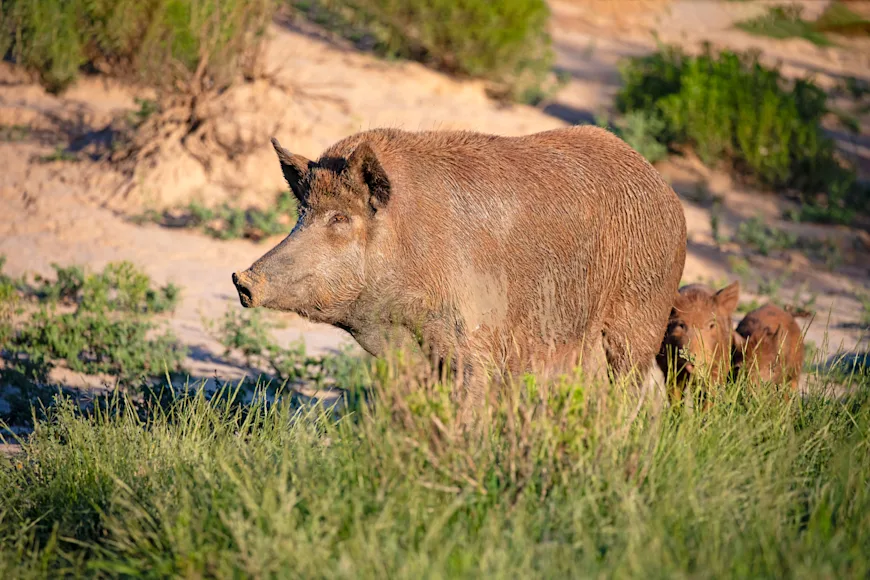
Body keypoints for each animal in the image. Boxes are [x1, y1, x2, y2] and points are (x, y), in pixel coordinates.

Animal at [232, 126, 687, 418]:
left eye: (340, 218)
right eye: (302, 214)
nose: (242, 280)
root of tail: (668, 195)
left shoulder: (473, 338)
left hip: (638, 320)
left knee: (640, 387)